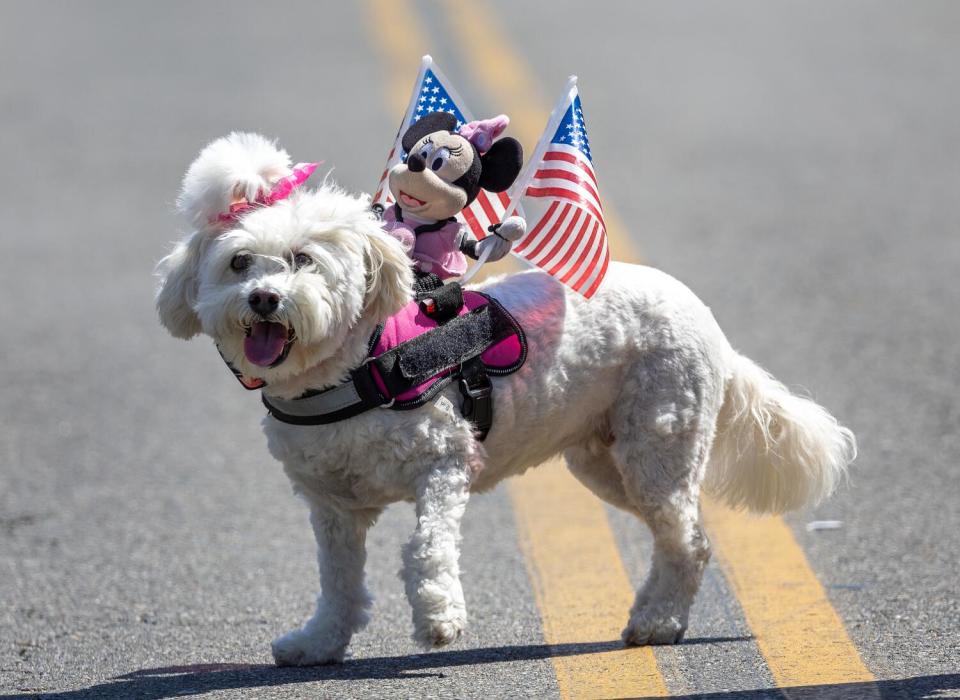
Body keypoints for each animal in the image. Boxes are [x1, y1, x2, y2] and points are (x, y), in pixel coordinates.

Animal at [156, 133, 856, 668]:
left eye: (302, 259)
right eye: (239, 263)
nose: (264, 299)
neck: (352, 368)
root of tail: (707, 321)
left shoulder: (444, 463)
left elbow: (425, 547)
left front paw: (439, 619)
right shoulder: (332, 504)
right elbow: (338, 581)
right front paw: (320, 642)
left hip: (658, 444)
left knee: (685, 537)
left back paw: (657, 622)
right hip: (604, 462)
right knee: (690, 535)